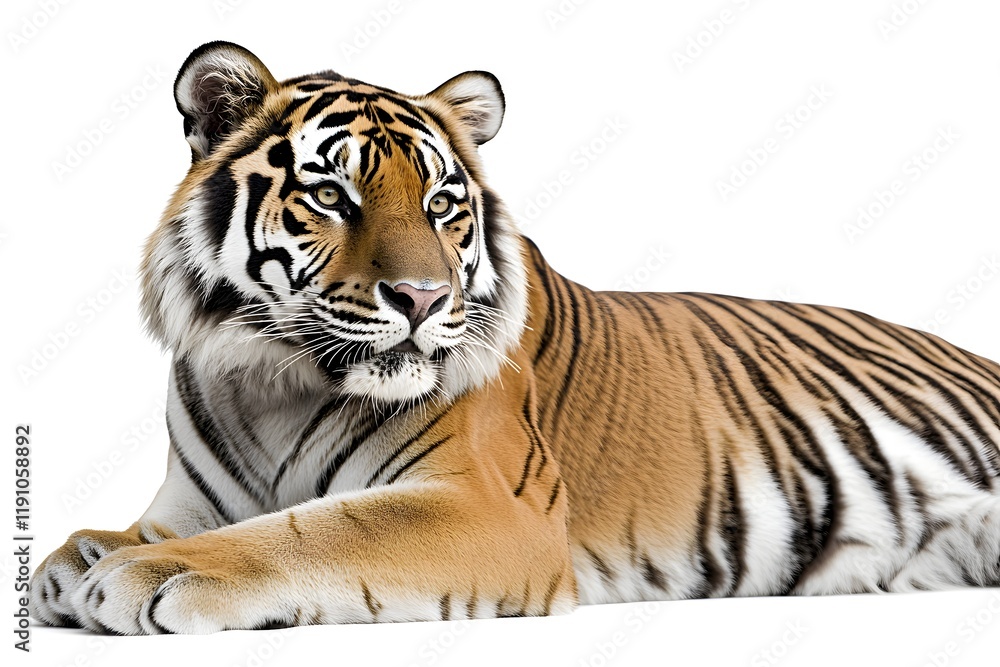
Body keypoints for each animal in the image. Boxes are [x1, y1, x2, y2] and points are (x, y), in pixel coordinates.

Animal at [30, 41, 1000, 635]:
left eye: (440, 204)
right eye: (332, 196)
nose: (421, 298)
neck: (272, 379)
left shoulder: (493, 504)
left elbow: (316, 529)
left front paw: (141, 574)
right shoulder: (187, 500)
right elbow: (120, 532)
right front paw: (78, 559)